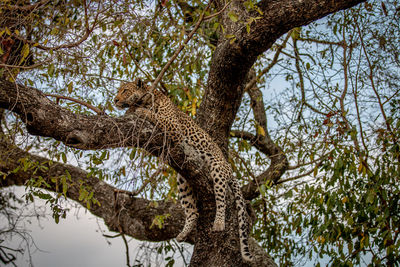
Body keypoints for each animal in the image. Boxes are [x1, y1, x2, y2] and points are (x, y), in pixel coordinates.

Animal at [115, 79, 253, 262]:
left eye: (124, 90)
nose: (115, 100)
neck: (148, 99)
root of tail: (229, 168)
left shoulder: (174, 127)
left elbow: (156, 117)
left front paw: (141, 111)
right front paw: (132, 111)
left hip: (217, 168)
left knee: (221, 198)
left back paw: (218, 223)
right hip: (183, 180)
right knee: (193, 211)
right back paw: (182, 234)